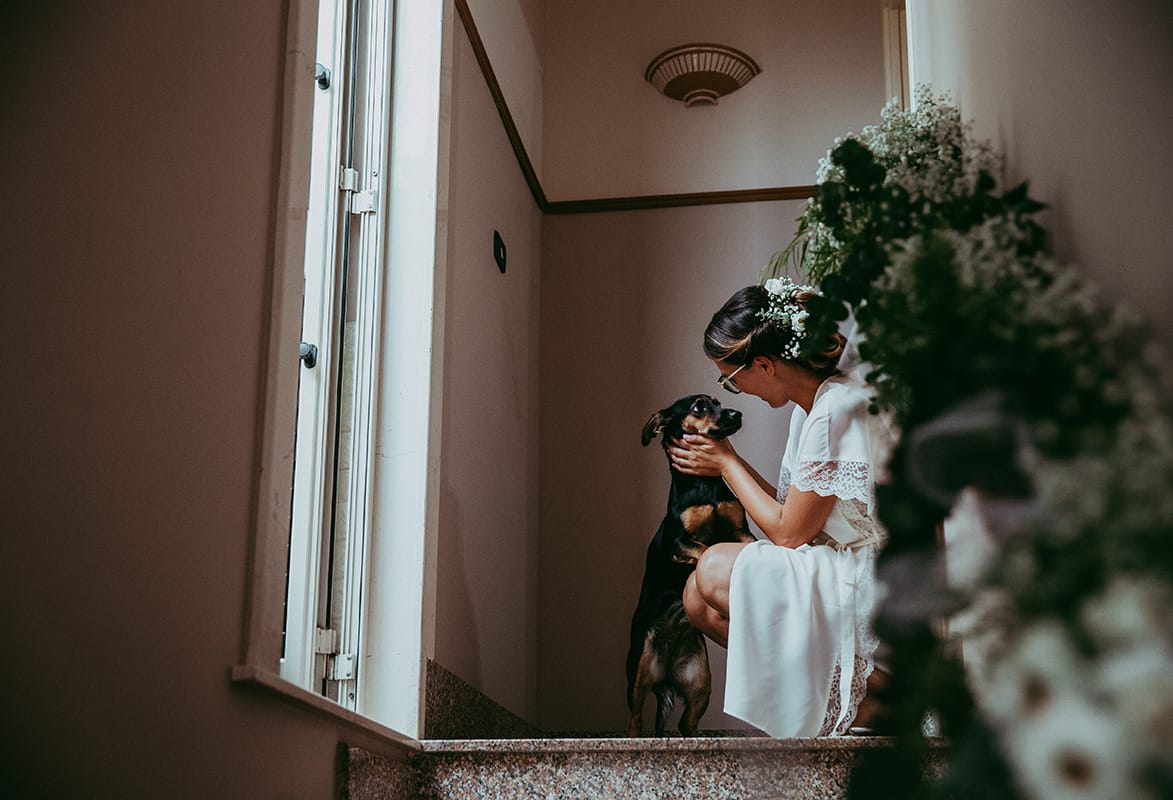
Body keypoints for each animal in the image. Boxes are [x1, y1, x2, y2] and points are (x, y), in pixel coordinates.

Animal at [626, 394, 756, 736]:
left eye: (719, 402)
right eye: (699, 407)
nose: (736, 414)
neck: (705, 485)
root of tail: (668, 673)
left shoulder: (741, 531)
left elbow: (748, 545)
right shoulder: (679, 543)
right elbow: (707, 549)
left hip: (700, 684)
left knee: (687, 722)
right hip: (639, 669)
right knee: (636, 719)